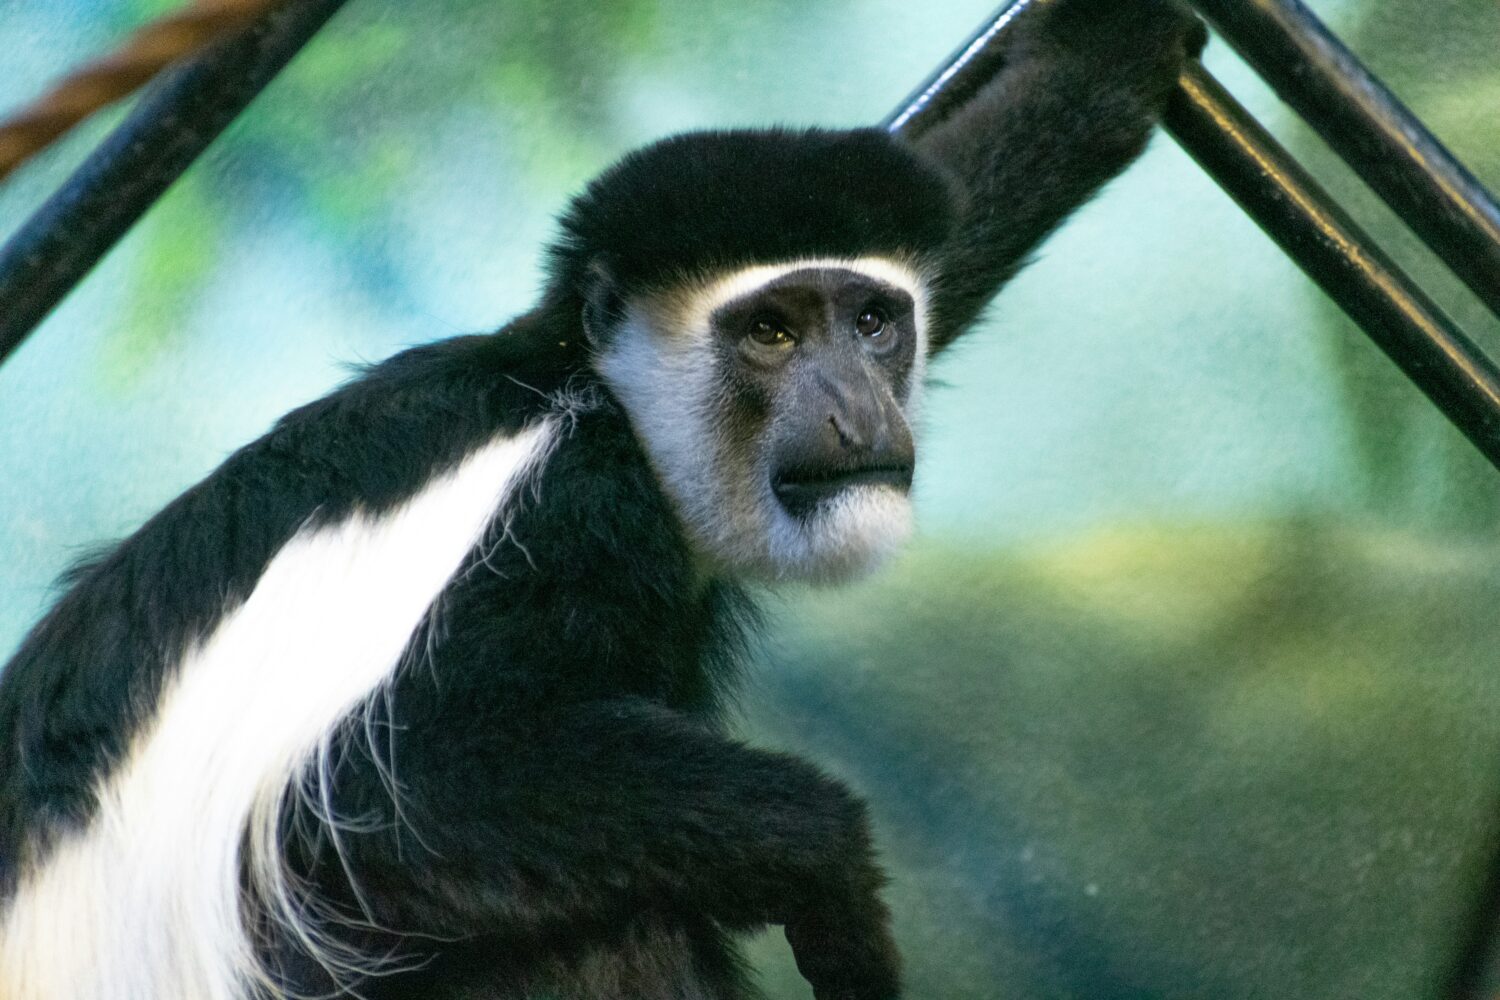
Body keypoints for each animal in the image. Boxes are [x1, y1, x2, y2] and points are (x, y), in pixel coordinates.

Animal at [0, 2, 1205, 998]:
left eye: (872, 322)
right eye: (771, 332)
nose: (859, 417)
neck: (593, 397)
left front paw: (1099, 55)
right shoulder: (562, 519)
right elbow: (395, 790)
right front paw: (829, 863)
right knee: (583, 920)